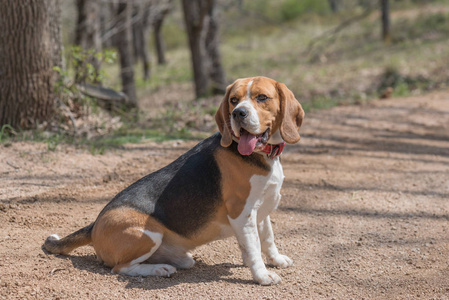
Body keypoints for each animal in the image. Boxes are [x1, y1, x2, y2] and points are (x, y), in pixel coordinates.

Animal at [44, 76, 304, 284]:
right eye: (233, 100)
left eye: (262, 97)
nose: (238, 113)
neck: (262, 155)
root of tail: (94, 224)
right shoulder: (242, 213)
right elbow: (253, 248)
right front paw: (262, 276)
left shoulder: (262, 209)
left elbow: (267, 238)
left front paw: (276, 260)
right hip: (148, 233)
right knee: (119, 268)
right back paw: (159, 269)